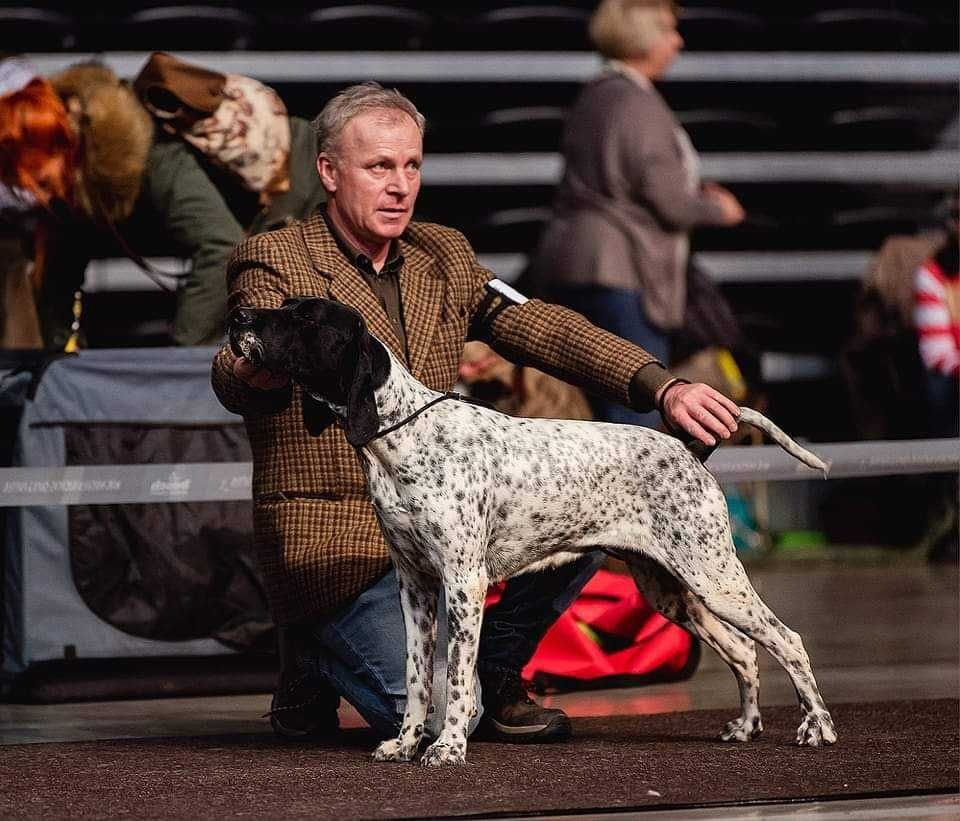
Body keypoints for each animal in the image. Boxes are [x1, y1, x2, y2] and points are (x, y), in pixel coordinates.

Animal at [229, 298, 836, 764]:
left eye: (304, 318)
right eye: (283, 305)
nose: (239, 317)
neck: (404, 436)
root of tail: (687, 447)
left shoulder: (463, 584)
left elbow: (456, 683)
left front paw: (447, 749)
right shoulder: (415, 587)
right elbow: (419, 677)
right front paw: (404, 744)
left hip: (714, 578)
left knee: (787, 641)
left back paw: (817, 728)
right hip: (672, 590)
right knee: (745, 651)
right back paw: (746, 726)